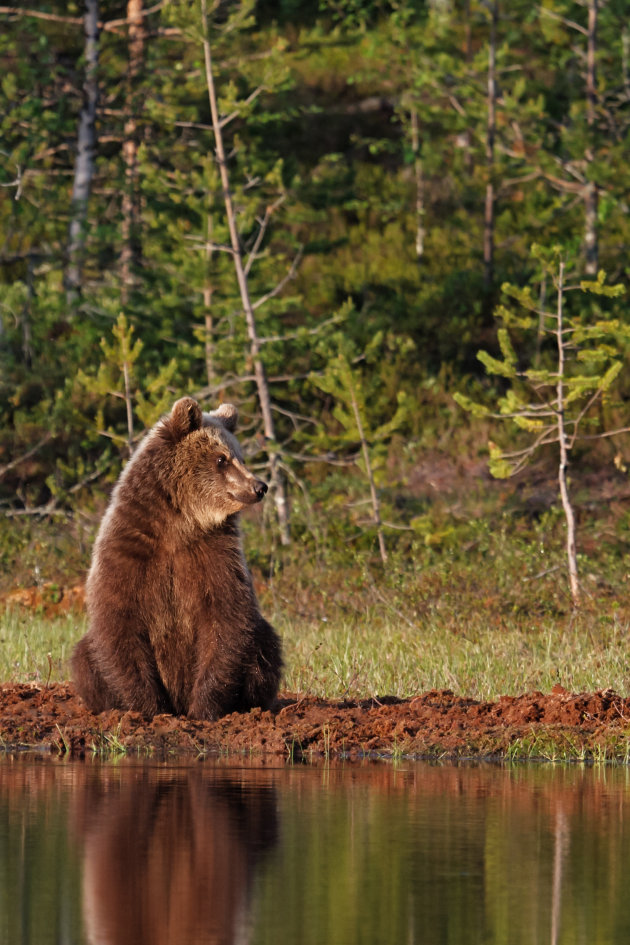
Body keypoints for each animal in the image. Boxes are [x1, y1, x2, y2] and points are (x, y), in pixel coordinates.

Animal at [69, 394, 284, 720]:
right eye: (221, 459)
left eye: (240, 457)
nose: (259, 486)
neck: (180, 523)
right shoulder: (129, 551)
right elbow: (119, 622)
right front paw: (148, 708)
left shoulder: (214, 555)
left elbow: (226, 620)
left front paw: (203, 708)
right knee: (84, 658)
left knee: (266, 646)